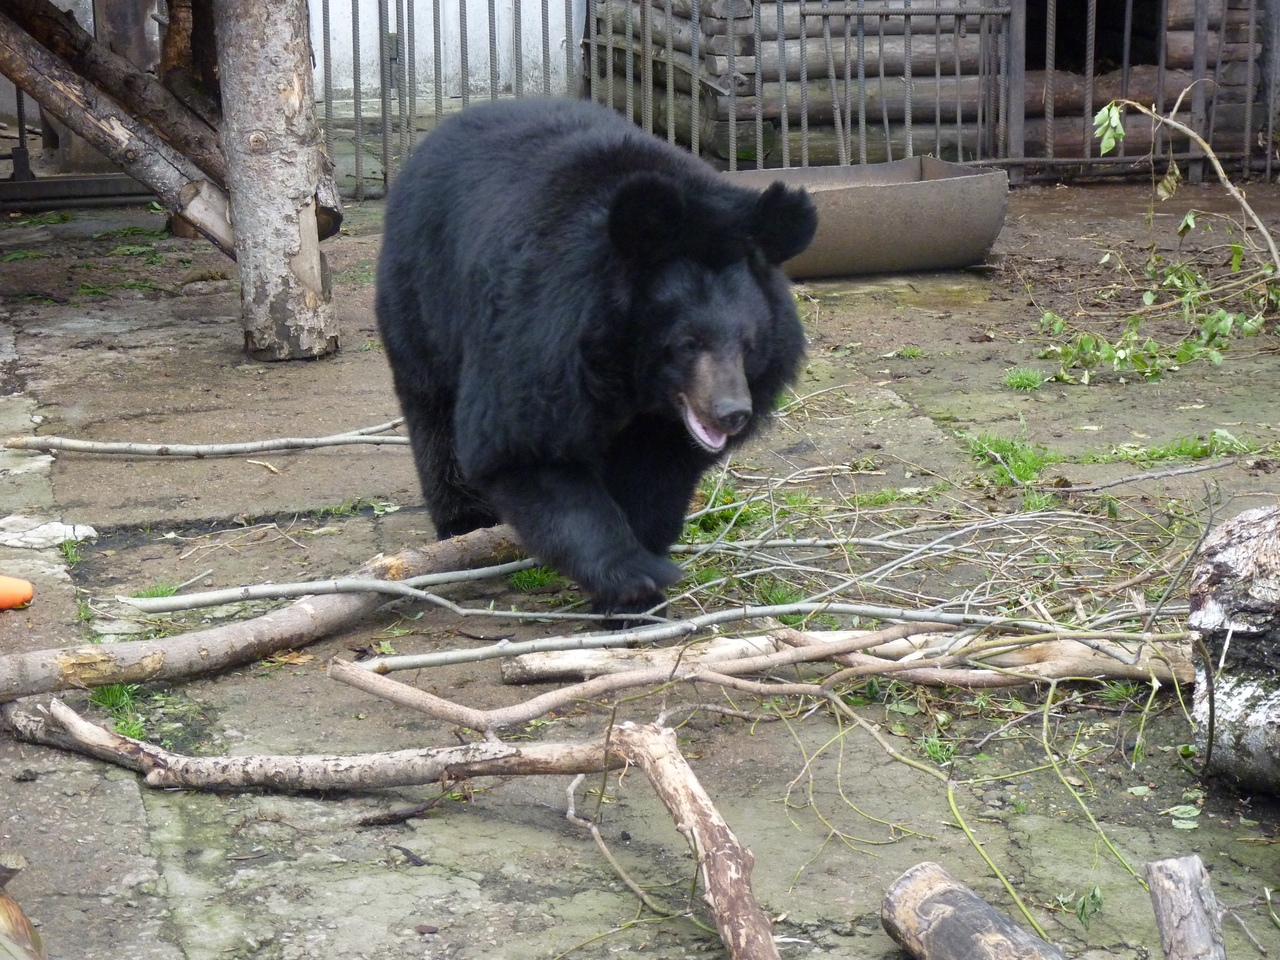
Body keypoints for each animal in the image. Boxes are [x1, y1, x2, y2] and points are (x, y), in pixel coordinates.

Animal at [376, 96, 817, 618]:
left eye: (749, 345)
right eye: (688, 343)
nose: (732, 413)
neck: (629, 372)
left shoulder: (663, 426)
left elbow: (655, 479)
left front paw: (640, 592)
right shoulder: (539, 338)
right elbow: (523, 449)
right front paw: (632, 578)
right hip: (422, 293)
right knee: (431, 405)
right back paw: (463, 524)